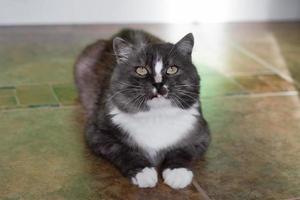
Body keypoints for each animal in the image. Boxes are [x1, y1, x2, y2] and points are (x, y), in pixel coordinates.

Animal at [74, 28, 210, 189]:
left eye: (172, 69)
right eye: (141, 70)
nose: (158, 84)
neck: (157, 116)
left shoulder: (201, 134)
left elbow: (183, 151)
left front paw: (177, 172)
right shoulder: (97, 133)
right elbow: (123, 150)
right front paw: (143, 172)